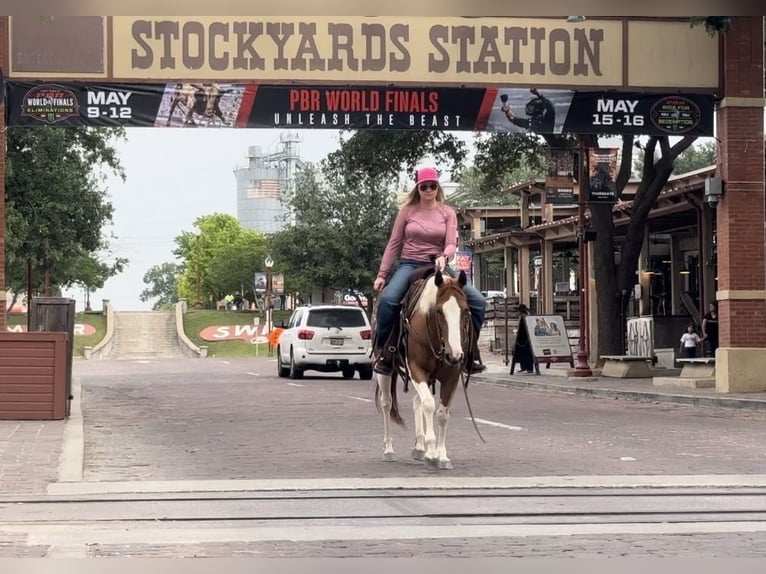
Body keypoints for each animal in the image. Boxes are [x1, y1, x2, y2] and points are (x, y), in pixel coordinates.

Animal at [374, 268, 474, 470]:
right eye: (439, 311)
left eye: (465, 310)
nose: (455, 355)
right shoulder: (416, 369)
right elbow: (429, 404)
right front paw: (431, 453)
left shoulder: (452, 375)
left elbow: (442, 413)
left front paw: (442, 456)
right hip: (385, 371)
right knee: (386, 403)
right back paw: (389, 450)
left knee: (416, 400)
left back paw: (419, 447)